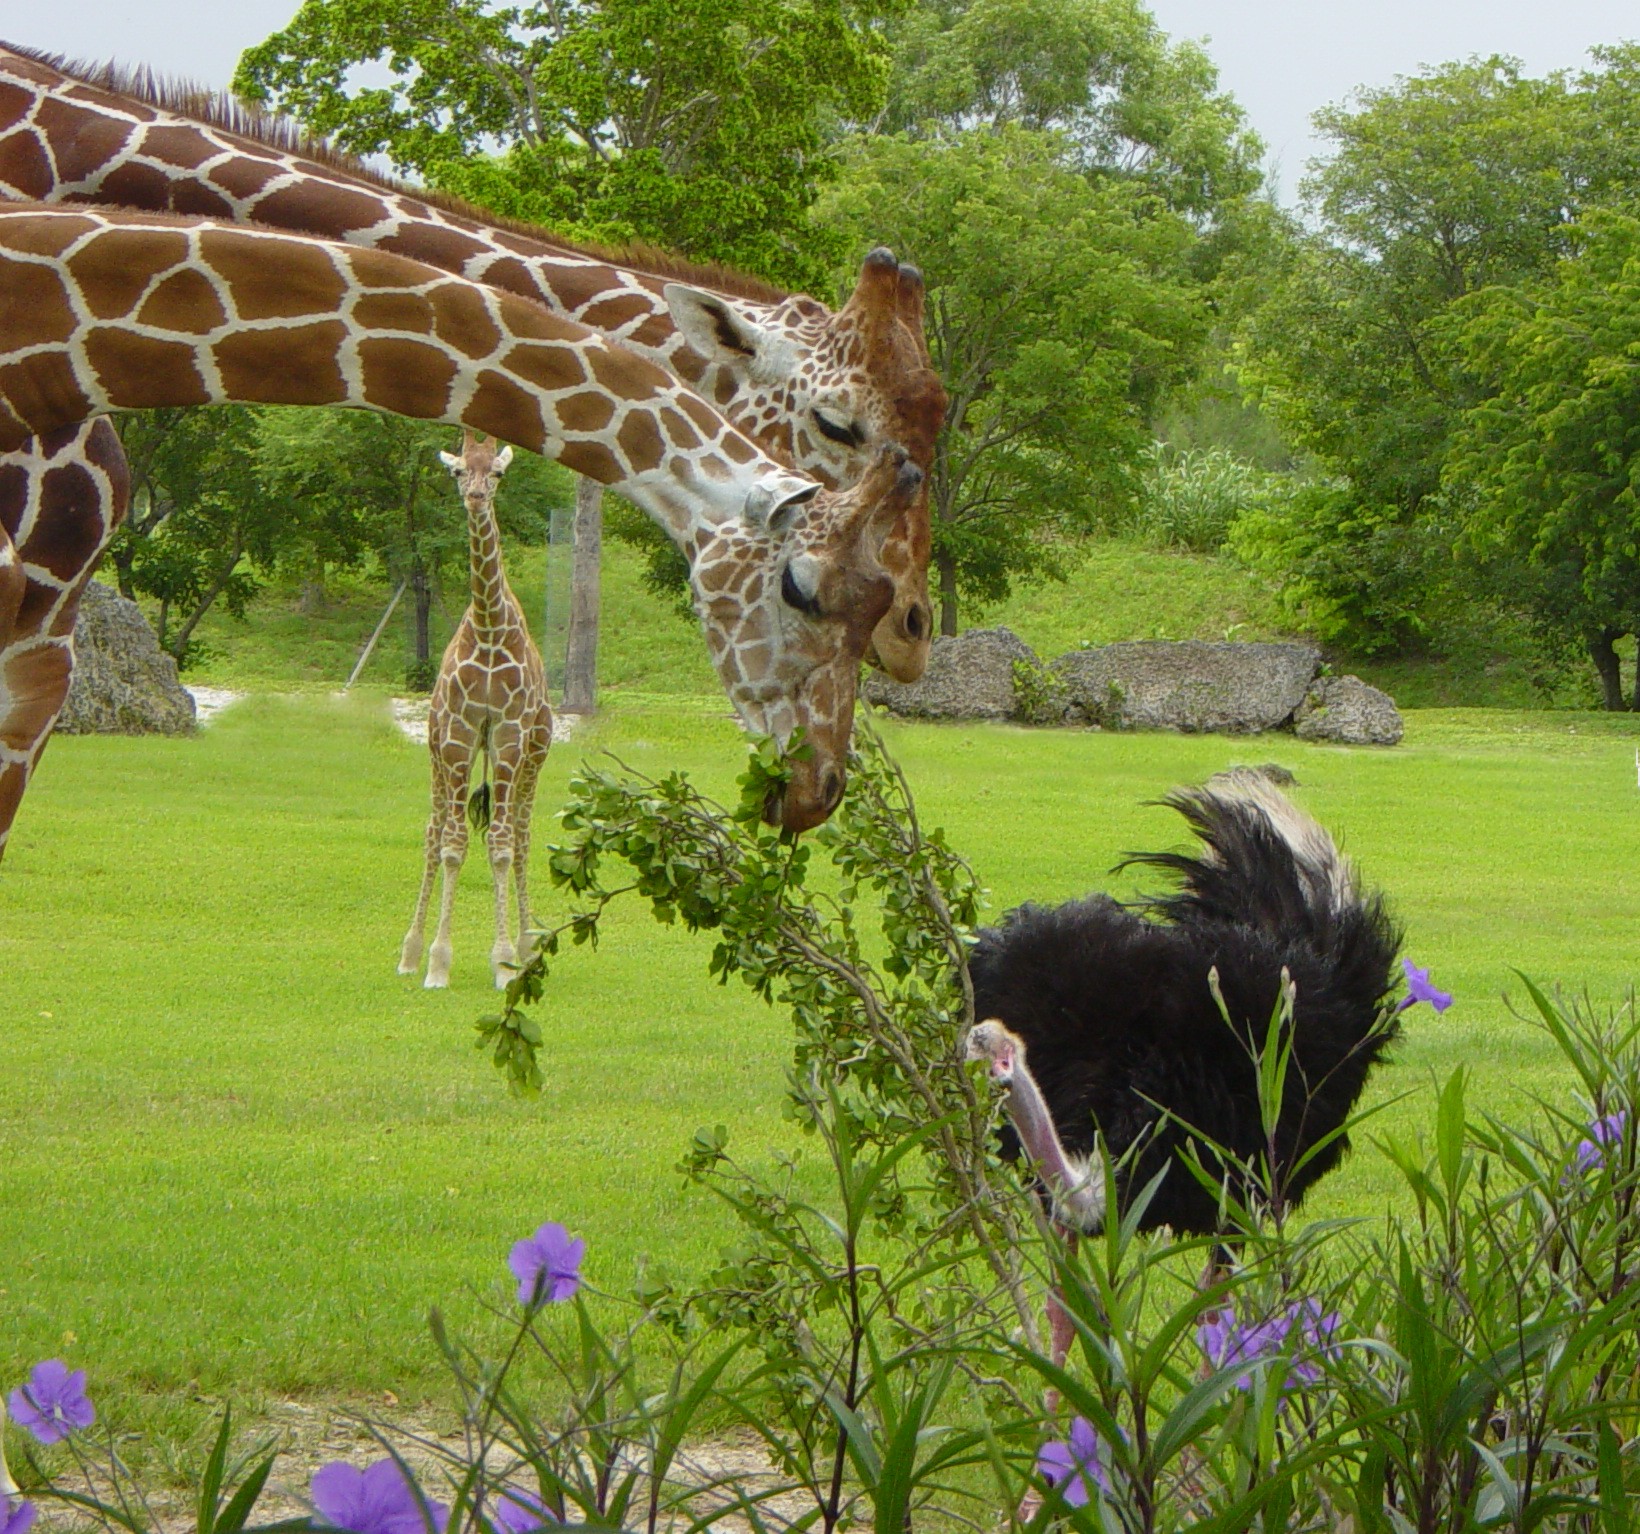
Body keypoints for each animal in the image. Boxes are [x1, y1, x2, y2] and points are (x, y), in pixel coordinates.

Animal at [400, 429, 554, 997]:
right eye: (458, 470)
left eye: (500, 472)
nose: (476, 496)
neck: (488, 629)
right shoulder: (460, 733)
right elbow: (451, 844)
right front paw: (437, 963)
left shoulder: (508, 734)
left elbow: (503, 846)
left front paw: (505, 961)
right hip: (436, 747)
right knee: (433, 830)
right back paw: (408, 952)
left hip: (535, 750)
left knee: (523, 836)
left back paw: (530, 945)